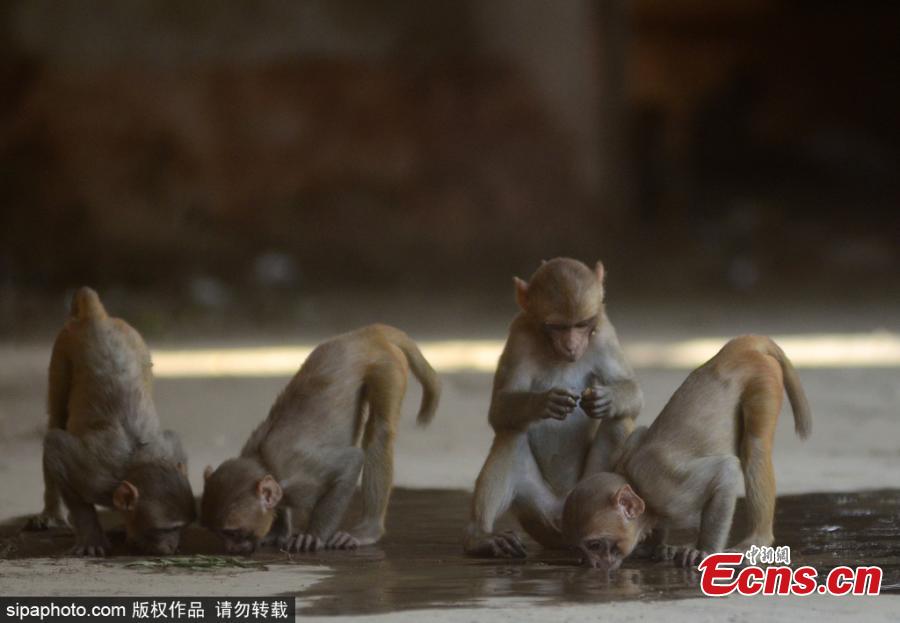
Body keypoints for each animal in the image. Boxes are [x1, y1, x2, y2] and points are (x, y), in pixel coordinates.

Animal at [25, 287, 196, 556]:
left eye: (183, 526)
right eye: (165, 529)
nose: (172, 547)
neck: (136, 461)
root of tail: (98, 319)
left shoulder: (170, 452)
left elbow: (173, 439)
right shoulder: (93, 475)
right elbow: (56, 445)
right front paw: (91, 536)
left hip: (138, 344)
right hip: (63, 348)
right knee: (55, 419)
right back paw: (51, 512)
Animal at [200, 324, 441, 555]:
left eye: (232, 533)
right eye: (217, 532)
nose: (230, 549)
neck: (264, 462)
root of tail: (361, 335)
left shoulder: (301, 475)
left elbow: (352, 461)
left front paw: (313, 535)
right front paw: (277, 532)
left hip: (386, 365)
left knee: (380, 432)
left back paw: (368, 530)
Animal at [464, 258, 643, 558]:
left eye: (581, 324)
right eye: (557, 326)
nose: (571, 345)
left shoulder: (604, 333)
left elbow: (633, 393)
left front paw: (607, 400)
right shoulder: (519, 336)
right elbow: (499, 410)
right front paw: (544, 401)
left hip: (591, 489)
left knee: (619, 421)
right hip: (536, 509)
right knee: (511, 435)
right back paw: (481, 536)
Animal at [562, 335, 812, 571]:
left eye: (594, 545)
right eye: (582, 549)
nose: (594, 564)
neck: (636, 484)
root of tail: (732, 351)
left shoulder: (666, 490)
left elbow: (726, 470)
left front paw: (703, 551)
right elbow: (640, 433)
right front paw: (655, 545)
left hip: (762, 377)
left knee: (755, 447)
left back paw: (756, 540)